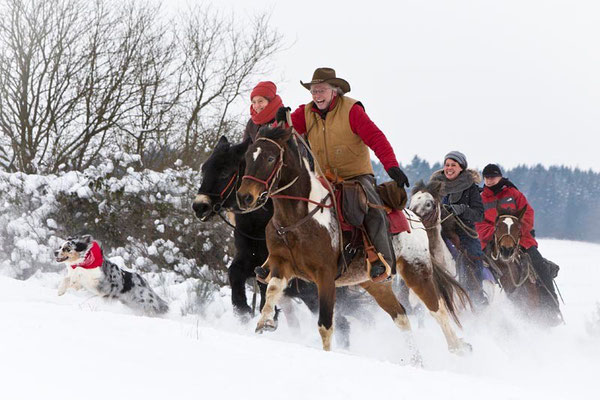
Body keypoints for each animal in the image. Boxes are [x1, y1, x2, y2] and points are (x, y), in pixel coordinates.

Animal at [237, 126, 472, 356]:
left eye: (270, 158)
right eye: (247, 156)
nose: (244, 197)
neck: (297, 219)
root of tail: (414, 218)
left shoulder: (325, 276)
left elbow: (326, 325)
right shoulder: (281, 264)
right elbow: (273, 289)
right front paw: (265, 322)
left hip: (417, 271)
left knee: (438, 309)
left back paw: (456, 348)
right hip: (375, 284)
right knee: (402, 317)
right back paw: (417, 360)